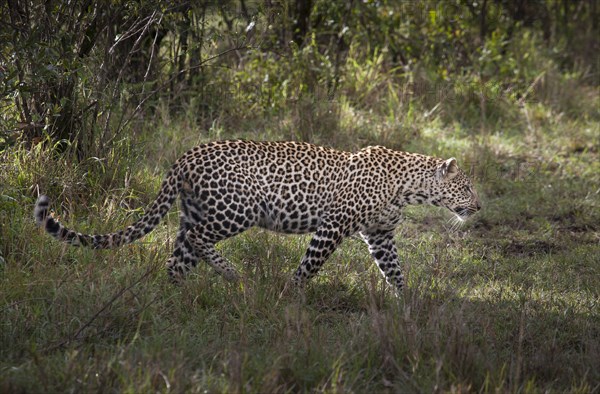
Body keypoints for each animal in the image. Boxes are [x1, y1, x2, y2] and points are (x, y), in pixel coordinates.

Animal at [35, 140, 480, 290]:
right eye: (468, 187)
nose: (478, 207)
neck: (410, 187)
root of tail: (185, 156)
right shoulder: (333, 226)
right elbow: (309, 266)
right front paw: (289, 295)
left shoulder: (381, 235)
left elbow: (396, 271)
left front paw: (409, 308)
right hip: (237, 209)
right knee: (197, 239)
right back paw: (235, 276)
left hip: (198, 211)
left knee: (180, 253)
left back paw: (175, 294)